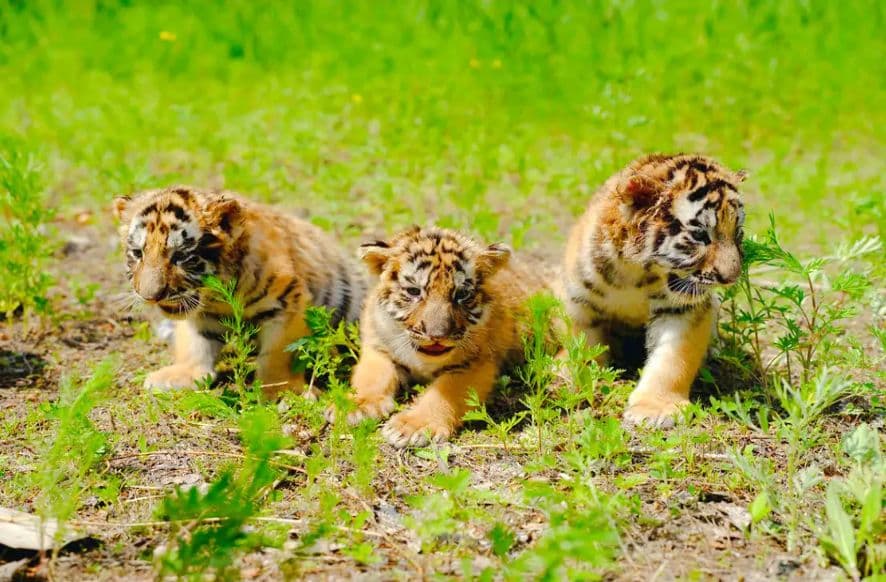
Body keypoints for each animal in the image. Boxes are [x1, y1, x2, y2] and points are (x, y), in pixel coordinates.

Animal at [114, 185, 367, 398]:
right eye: (137, 253)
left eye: (180, 256)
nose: (150, 297)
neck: (215, 296)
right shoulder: (197, 315)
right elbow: (195, 344)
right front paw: (181, 374)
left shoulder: (288, 304)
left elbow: (278, 355)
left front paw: (279, 391)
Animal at [326, 226, 551, 448]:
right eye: (414, 291)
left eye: (461, 294)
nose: (437, 334)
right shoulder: (378, 346)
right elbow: (372, 376)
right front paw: (354, 406)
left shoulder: (474, 364)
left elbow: (444, 392)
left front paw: (412, 426)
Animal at [559, 153, 747, 427]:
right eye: (700, 235)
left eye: (738, 233)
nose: (730, 278)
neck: (635, 274)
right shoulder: (580, 301)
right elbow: (581, 344)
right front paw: (572, 375)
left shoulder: (684, 309)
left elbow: (673, 359)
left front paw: (655, 408)